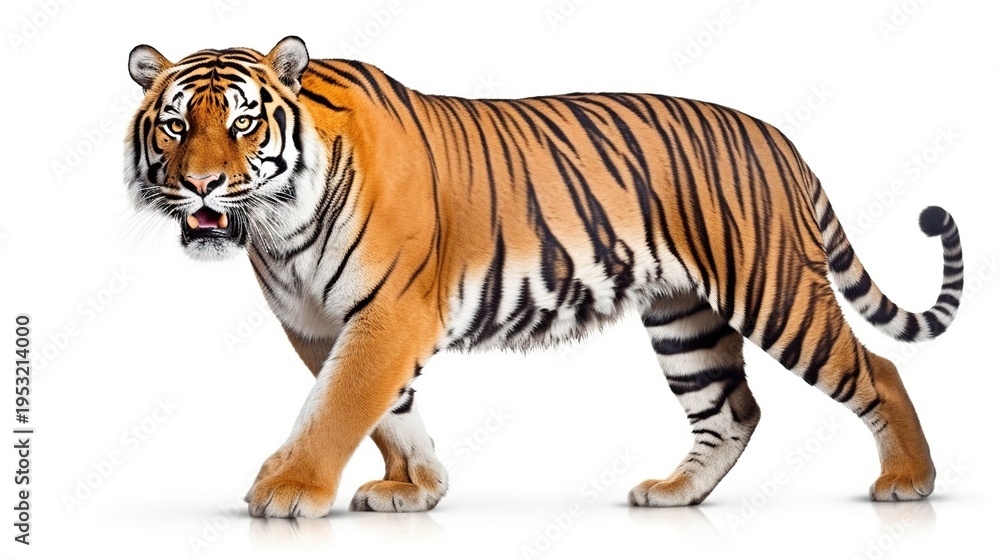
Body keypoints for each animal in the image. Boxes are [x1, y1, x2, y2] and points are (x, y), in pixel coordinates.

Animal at [124, 36, 963, 518]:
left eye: (243, 123)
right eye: (175, 124)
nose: (200, 184)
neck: (278, 228)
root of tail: (779, 137)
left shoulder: (387, 313)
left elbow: (338, 404)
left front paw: (290, 490)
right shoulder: (316, 322)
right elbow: (387, 410)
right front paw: (417, 487)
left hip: (774, 291)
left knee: (879, 370)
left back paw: (909, 482)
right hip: (683, 318)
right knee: (733, 410)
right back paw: (674, 494)